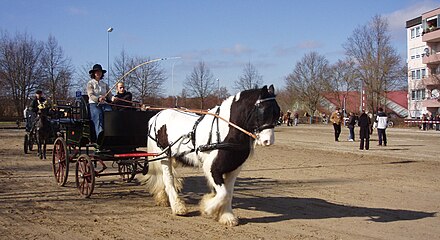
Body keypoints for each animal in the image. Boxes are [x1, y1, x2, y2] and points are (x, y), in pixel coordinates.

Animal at [145, 84, 282, 225]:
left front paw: (227, 216)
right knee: (168, 179)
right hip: (164, 156)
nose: (268, 141)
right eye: (263, 111)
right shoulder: (212, 168)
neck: (226, 132)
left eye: (278, 113)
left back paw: (163, 199)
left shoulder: (233, 170)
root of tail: (157, 115)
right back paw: (178, 207)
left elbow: (228, 193)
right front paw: (207, 208)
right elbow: (223, 194)